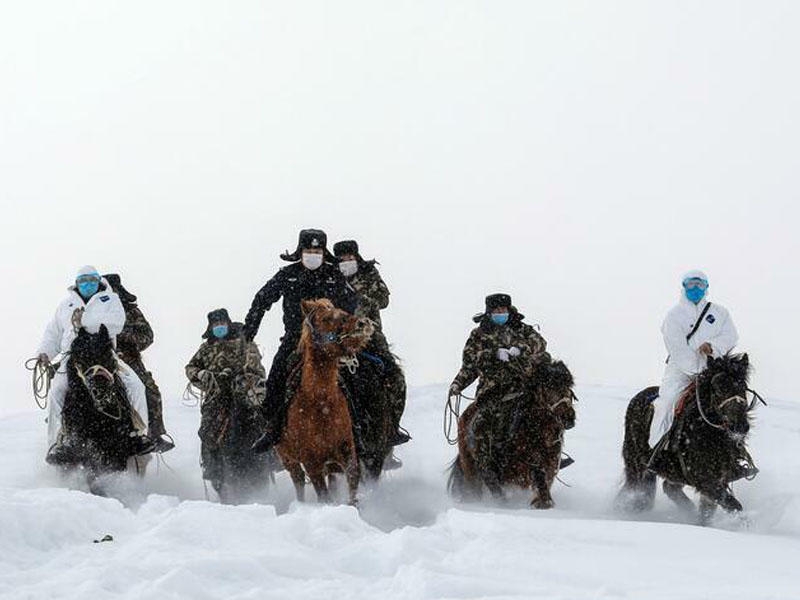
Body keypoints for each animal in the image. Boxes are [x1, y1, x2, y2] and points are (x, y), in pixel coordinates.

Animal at [57, 326, 141, 490]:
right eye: (81, 359)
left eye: (108, 355)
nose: (101, 390)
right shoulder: (84, 449)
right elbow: (92, 473)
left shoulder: (118, 447)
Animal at [276, 298, 376, 504]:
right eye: (325, 318)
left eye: (341, 310)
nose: (363, 323)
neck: (321, 403)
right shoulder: (312, 463)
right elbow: (323, 495)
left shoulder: (347, 451)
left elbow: (352, 480)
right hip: (289, 461)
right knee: (298, 482)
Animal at [450, 358, 576, 508]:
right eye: (548, 387)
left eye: (569, 386)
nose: (569, 418)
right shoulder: (529, 462)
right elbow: (539, 478)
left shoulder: (551, 462)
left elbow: (546, 481)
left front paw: (541, 502)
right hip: (473, 469)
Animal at [620, 354, 760, 524]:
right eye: (718, 388)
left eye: (743, 387)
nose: (739, 426)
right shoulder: (706, 481)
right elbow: (733, 505)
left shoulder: (718, 479)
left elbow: (708, 512)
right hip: (636, 466)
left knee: (669, 487)